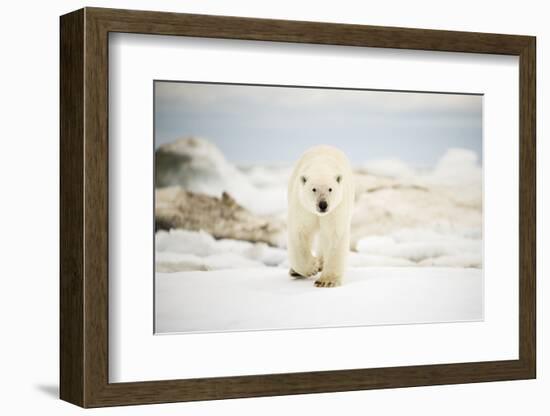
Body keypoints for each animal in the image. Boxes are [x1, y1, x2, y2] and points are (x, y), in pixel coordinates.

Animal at [286, 145, 356, 288]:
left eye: (330, 189)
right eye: (314, 189)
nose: (323, 204)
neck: (321, 166)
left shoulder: (336, 209)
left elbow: (335, 235)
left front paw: (326, 281)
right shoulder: (303, 206)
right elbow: (299, 232)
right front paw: (312, 267)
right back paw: (295, 272)